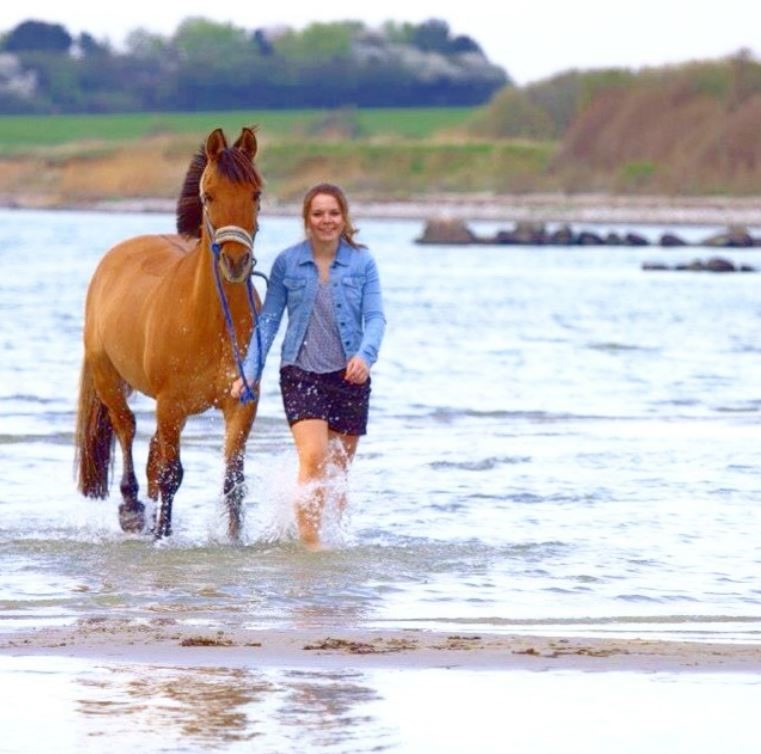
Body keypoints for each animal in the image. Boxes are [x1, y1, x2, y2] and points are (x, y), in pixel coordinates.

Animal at [75, 126, 264, 536]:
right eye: (209, 196)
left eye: (256, 194)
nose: (236, 262)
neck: (209, 321)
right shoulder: (171, 404)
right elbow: (171, 475)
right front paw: (162, 535)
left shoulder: (242, 404)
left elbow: (233, 479)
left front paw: (235, 539)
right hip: (109, 379)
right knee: (127, 429)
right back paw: (132, 507)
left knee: (152, 452)